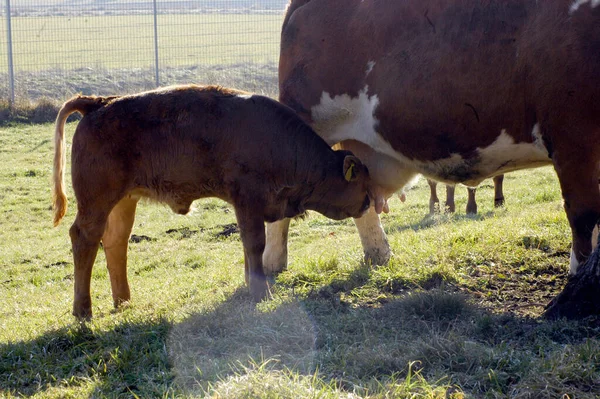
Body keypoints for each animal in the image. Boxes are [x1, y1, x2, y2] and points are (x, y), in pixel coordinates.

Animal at [52, 85, 376, 318]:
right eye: (361, 181)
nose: (369, 202)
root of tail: (98, 103)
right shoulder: (248, 200)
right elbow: (255, 243)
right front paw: (261, 292)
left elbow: (247, 244)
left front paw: (250, 284)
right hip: (97, 201)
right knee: (84, 238)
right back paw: (83, 311)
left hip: (124, 201)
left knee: (116, 242)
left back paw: (124, 302)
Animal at [264, 0, 600, 278]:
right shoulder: (574, 136)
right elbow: (583, 214)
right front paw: (578, 278)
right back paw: (270, 265)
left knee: (359, 197)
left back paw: (378, 254)